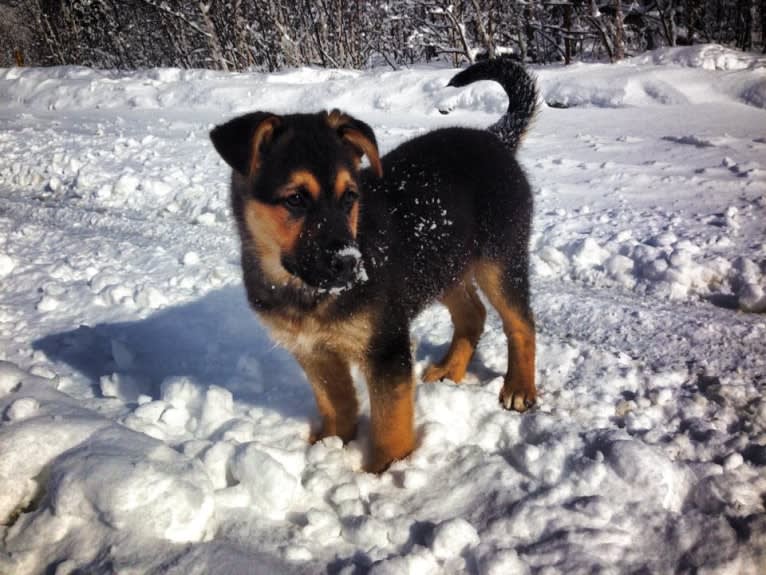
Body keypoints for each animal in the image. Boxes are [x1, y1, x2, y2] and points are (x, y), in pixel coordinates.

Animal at [212, 57, 540, 472]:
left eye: (350, 196)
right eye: (295, 199)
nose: (349, 265)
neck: (302, 289)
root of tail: (495, 138)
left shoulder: (386, 349)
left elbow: (390, 427)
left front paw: (384, 474)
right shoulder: (313, 352)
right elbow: (337, 404)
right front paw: (332, 445)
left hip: (500, 259)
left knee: (521, 323)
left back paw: (519, 389)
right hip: (442, 264)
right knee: (473, 314)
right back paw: (450, 370)